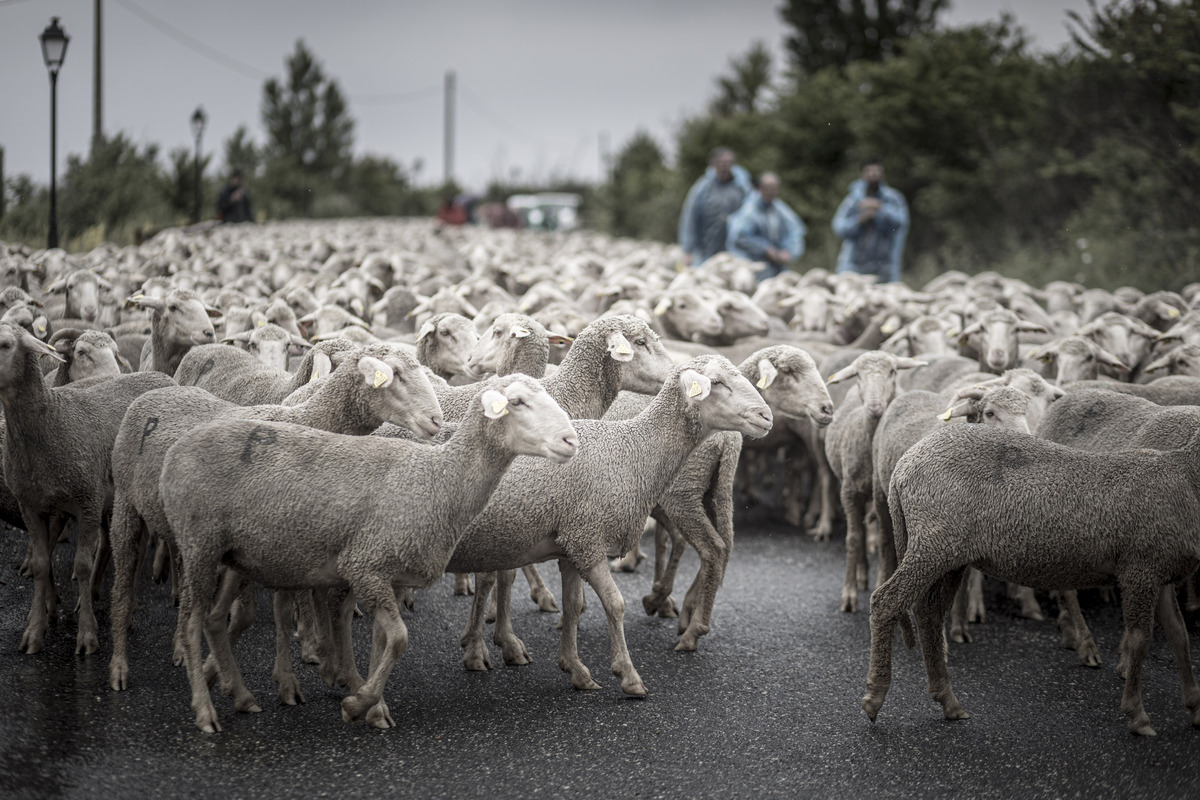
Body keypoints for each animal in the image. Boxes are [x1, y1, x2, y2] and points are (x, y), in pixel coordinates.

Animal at [0, 321, 175, 652]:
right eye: (81, 352)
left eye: (5, 345)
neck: (53, 421)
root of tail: (164, 377)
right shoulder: (32, 506)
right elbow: (41, 563)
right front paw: (35, 631)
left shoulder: (88, 501)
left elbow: (82, 564)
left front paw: (87, 634)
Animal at [106, 345, 446, 695]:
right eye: (395, 373)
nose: (437, 420)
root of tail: (156, 389)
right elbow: (252, 613)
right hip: (125, 502)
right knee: (122, 585)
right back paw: (120, 664)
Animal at [160, 376, 580, 734]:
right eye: (517, 402)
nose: (570, 440)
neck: (437, 479)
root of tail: (177, 448)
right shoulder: (365, 565)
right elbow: (398, 638)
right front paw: (358, 703)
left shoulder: (388, 576)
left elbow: (382, 640)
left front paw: (373, 705)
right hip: (198, 544)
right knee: (192, 624)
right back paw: (205, 711)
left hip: (234, 554)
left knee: (215, 619)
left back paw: (242, 695)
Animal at [825, 352, 926, 614]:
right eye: (858, 375)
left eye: (892, 371)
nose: (873, 406)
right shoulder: (849, 492)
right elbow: (853, 538)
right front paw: (849, 594)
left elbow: (883, 540)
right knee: (859, 530)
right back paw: (861, 574)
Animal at [864, 424, 1200, 738]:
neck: (1186, 474)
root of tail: (904, 465)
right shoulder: (1140, 568)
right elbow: (1140, 640)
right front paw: (1138, 715)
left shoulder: (1162, 575)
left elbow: (1179, 635)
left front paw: (1194, 708)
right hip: (933, 543)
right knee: (886, 601)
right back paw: (875, 696)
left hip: (950, 556)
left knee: (928, 614)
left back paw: (947, 700)